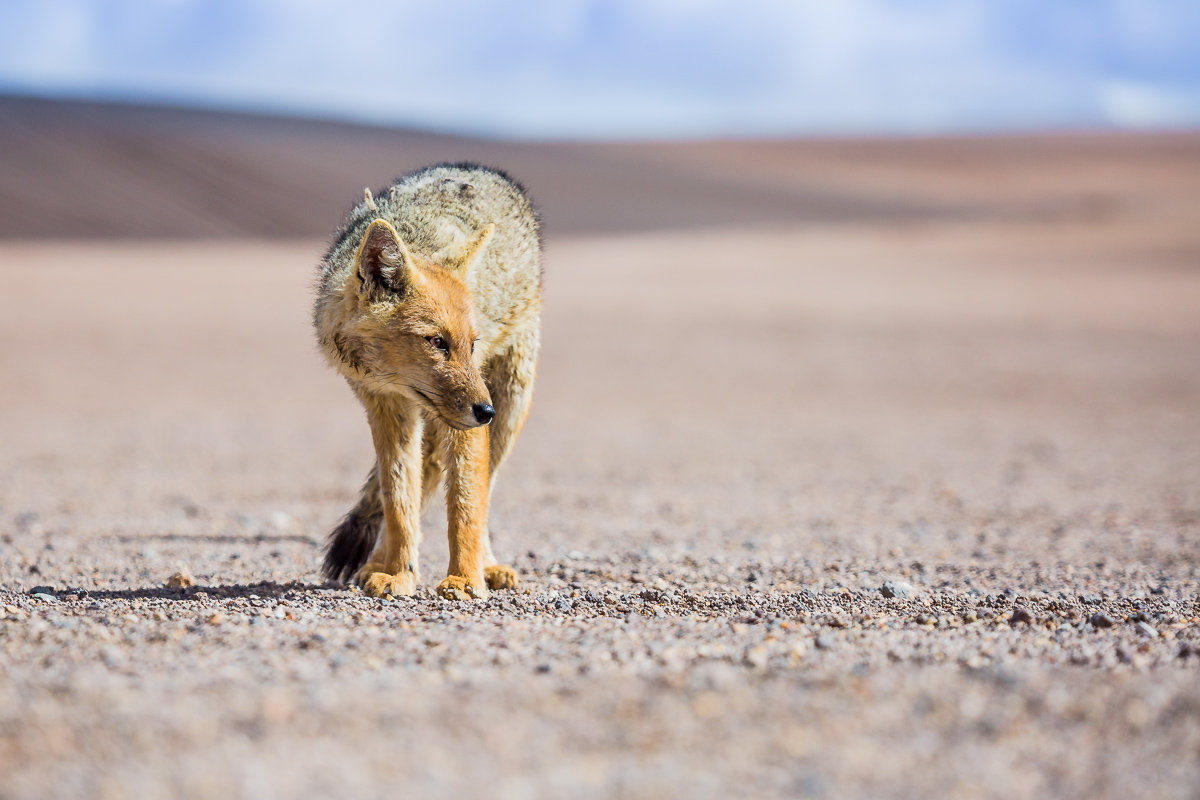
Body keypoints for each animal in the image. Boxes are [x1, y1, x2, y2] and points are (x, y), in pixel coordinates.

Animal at [319, 163, 544, 599]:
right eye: (437, 342)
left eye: (472, 345)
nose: (485, 411)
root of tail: (479, 167)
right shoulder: (386, 408)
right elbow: (398, 500)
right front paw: (400, 572)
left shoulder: (464, 424)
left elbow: (466, 506)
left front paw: (464, 579)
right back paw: (376, 563)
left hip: (511, 406)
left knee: (484, 487)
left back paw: (488, 566)